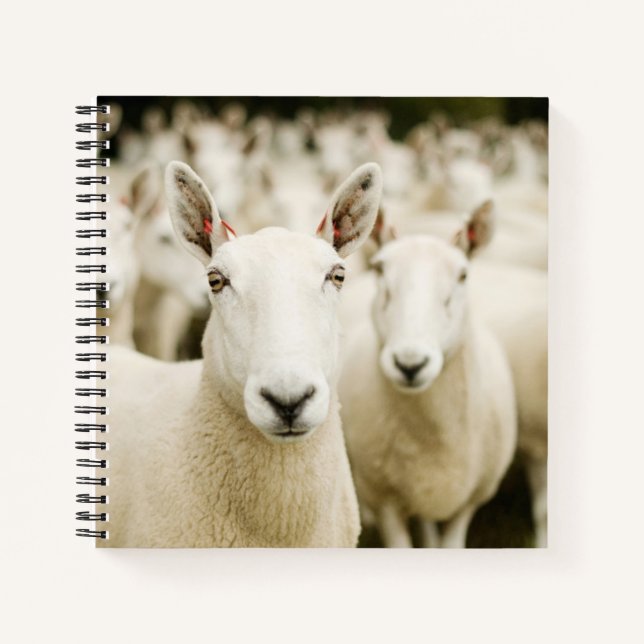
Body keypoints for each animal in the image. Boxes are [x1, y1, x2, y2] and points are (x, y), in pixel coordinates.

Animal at [338, 205, 517, 548]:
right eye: (380, 270)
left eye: (463, 275)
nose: (410, 364)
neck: (435, 435)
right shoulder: (385, 502)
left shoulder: (470, 500)